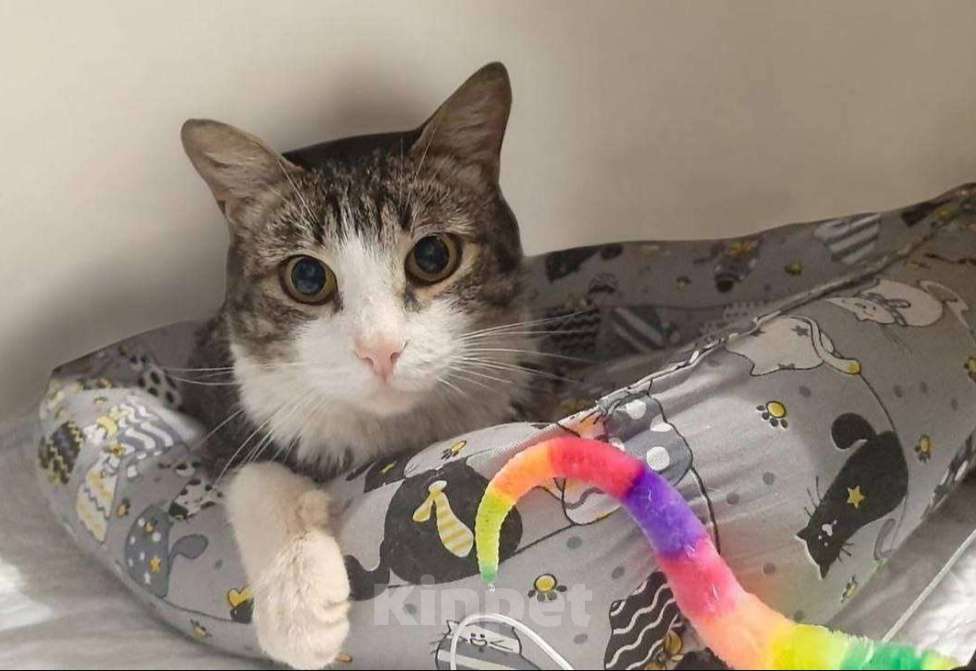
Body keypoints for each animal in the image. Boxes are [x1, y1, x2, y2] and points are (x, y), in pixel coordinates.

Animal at [179, 63, 540, 669]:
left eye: (433, 256)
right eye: (306, 278)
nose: (381, 349)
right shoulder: (228, 409)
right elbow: (253, 473)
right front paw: (300, 609)